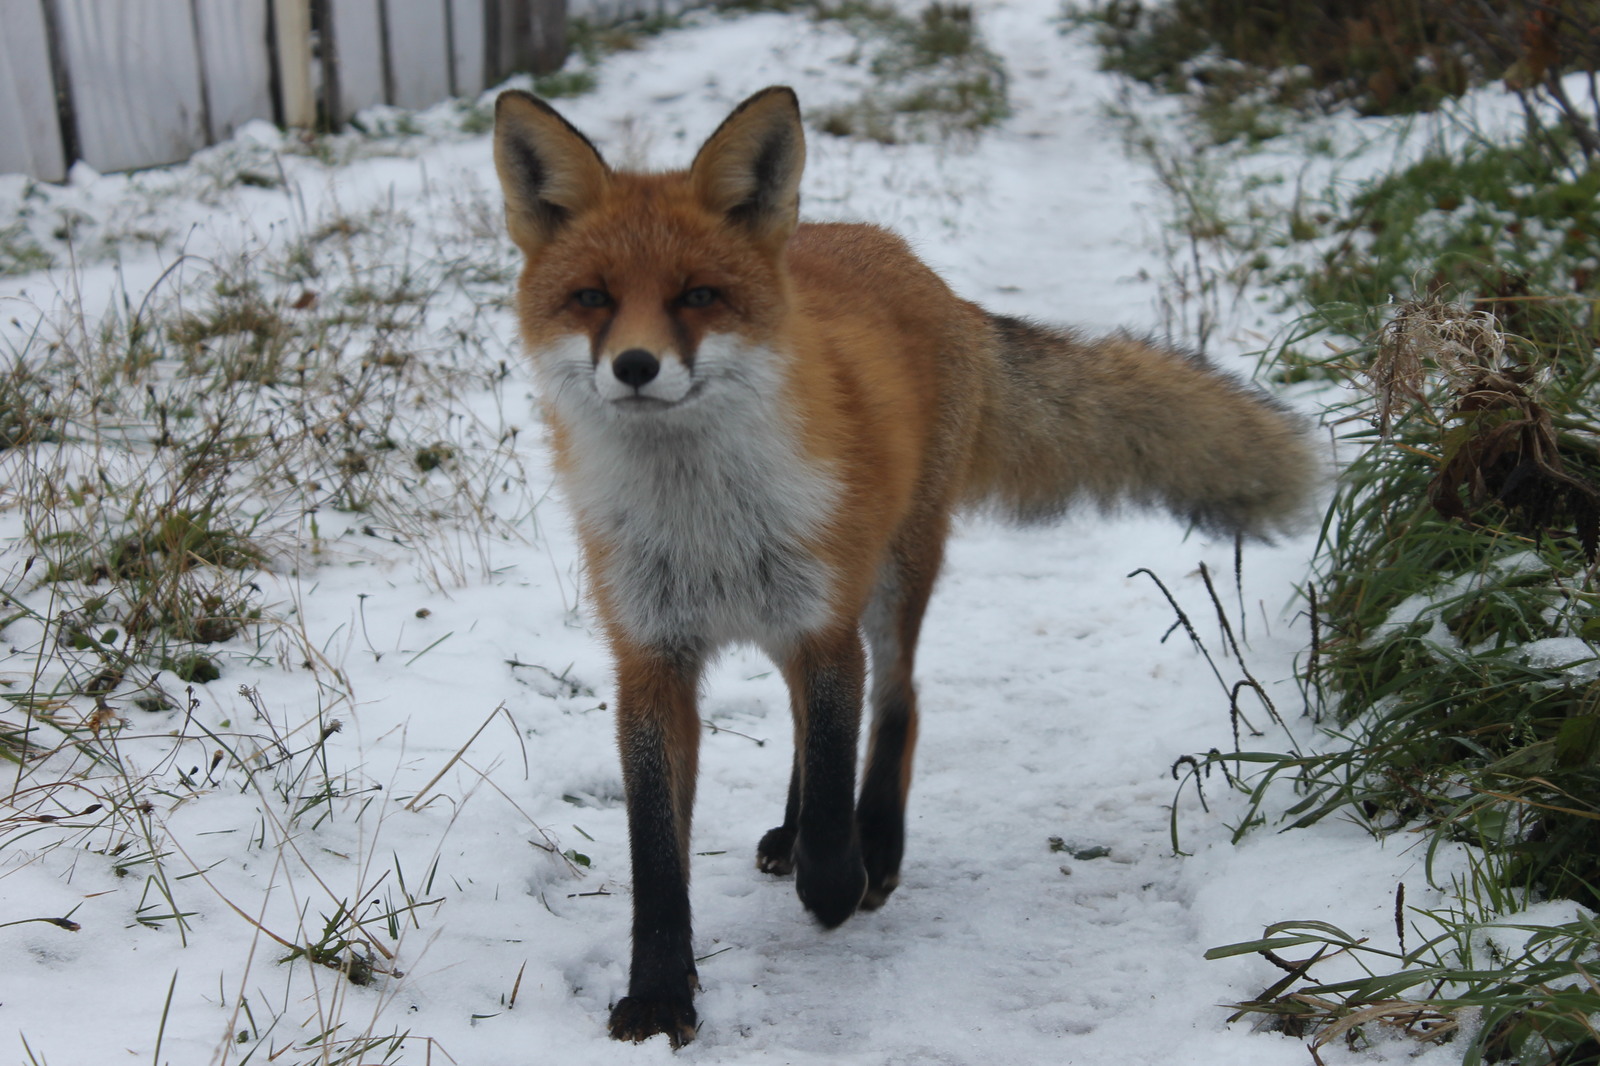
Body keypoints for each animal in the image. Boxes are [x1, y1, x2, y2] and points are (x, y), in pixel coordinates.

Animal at [492, 85, 1318, 1043]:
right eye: (591, 297)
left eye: (699, 296)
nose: (634, 366)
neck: (703, 521)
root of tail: (919, 268)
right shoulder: (652, 655)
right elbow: (658, 855)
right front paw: (660, 994)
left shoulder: (822, 627)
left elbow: (833, 771)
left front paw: (836, 881)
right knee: (815, 728)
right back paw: (797, 838)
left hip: (889, 583)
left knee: (897, 704)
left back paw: (875, 845)